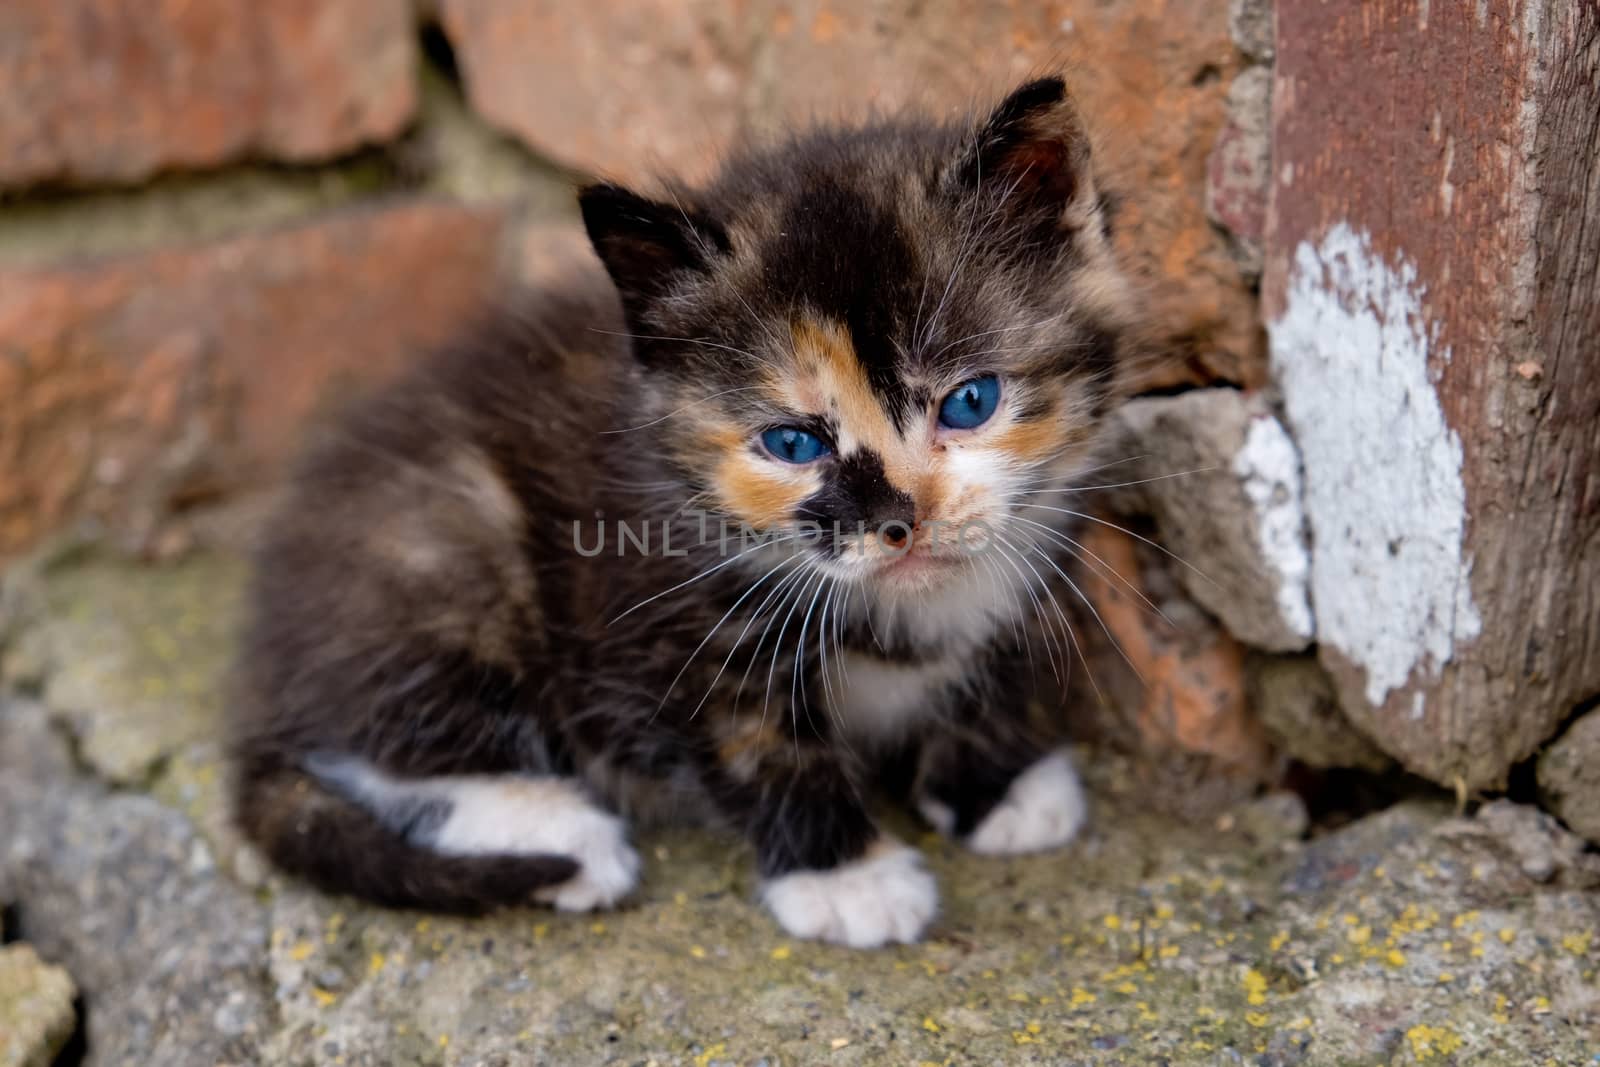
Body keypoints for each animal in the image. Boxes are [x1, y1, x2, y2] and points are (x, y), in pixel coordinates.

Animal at [233, 75, 1139, 947]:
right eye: (792, 442)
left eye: (970, 400)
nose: (898, 520)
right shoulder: (658, 612)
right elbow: (756, 741)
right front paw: (846, 874)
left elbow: (995, 664)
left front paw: (999, 785)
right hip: (451, 537)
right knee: (377, 738)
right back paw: (562, 833)